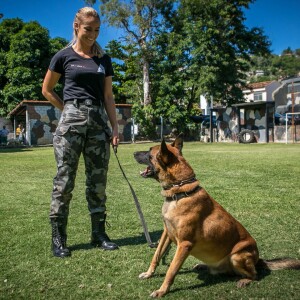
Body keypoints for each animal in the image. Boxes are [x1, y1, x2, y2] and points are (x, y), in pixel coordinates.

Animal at [134, 136, 300, 298]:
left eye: (149, 153)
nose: (134, 152)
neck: (180, 192)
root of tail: (258, 259)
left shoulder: (184, 244)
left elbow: (171, 270)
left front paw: (162, 290)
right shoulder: (166, 234)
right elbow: (156, 255)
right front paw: (149, 274)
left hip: (237, 256)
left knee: (255, 275)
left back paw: (244, 280)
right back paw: (203, 266)